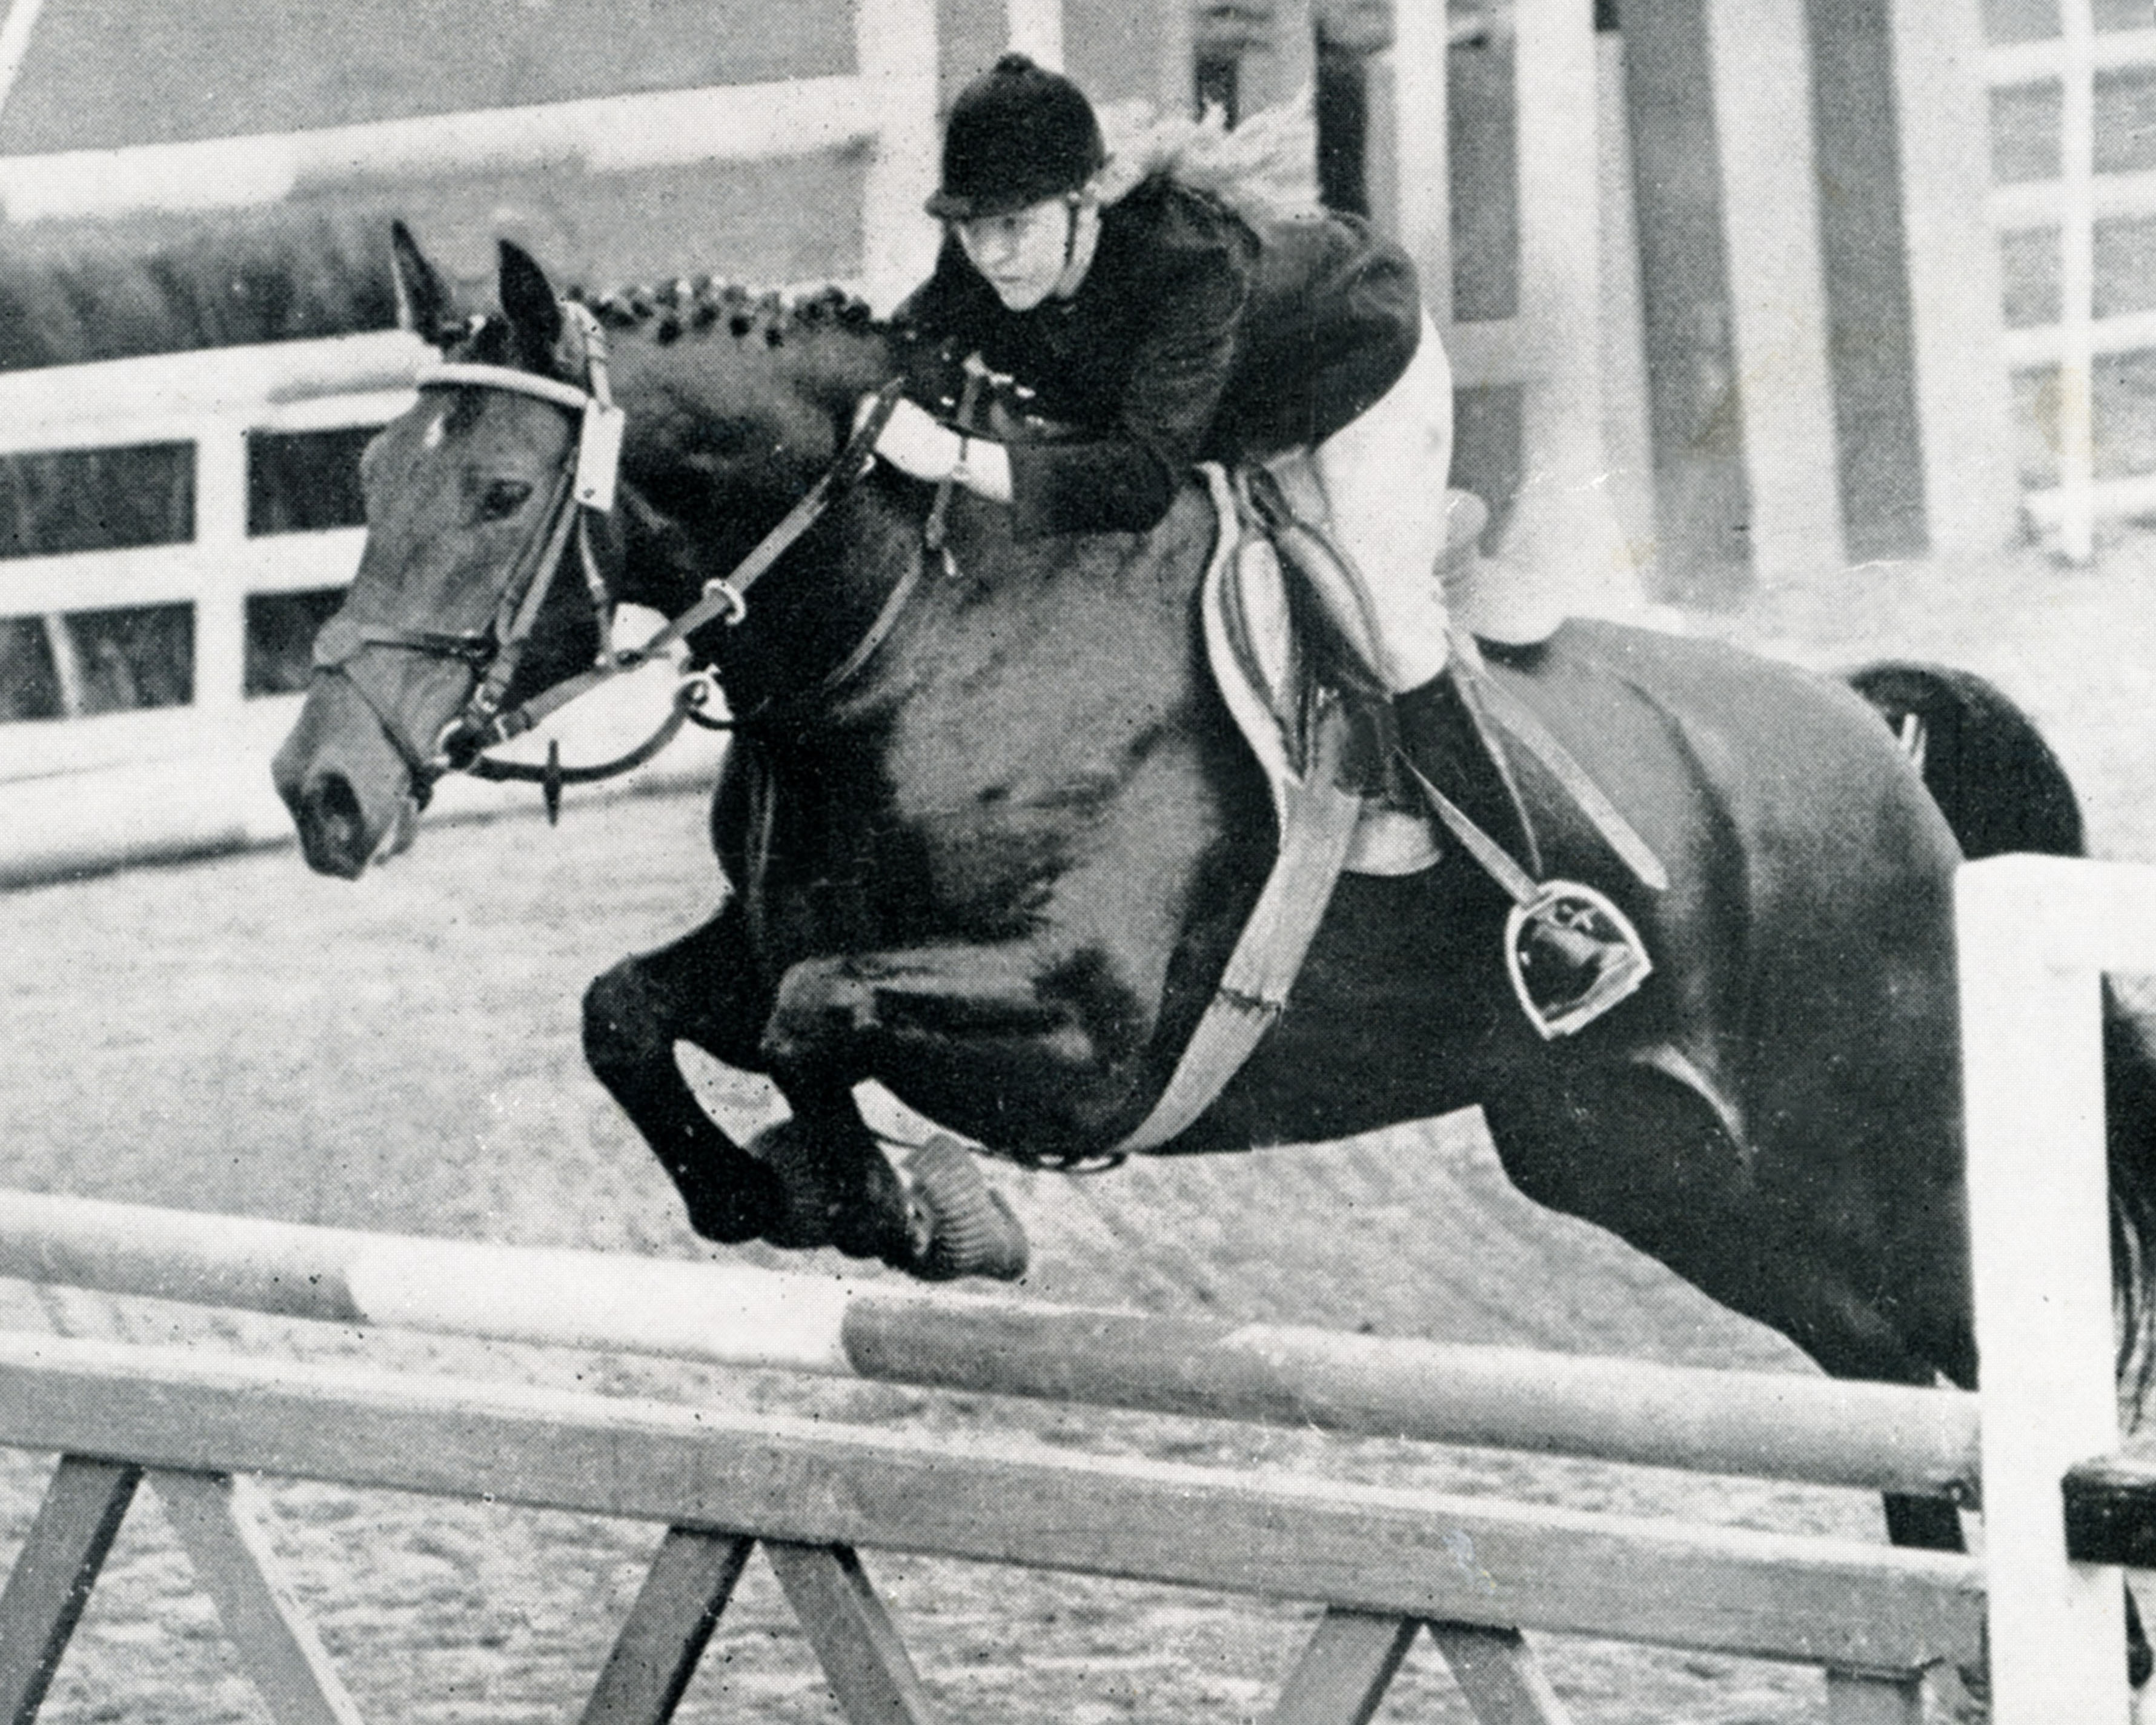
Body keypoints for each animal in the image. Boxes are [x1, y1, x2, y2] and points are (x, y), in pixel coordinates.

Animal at [278, 228, 2156, 1656]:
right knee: (1901, 1404)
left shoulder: (1085, 1027)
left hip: (1890, 1158)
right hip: (1649, 1165)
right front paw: (760, 1190)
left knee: (1998, 1372)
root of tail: (1864, 729)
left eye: (502, 489)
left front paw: (906, 1207)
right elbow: (631, 1009)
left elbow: (819, 1020)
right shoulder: (762, 946)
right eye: (366, 474)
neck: (910, 628)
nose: (320, 791)